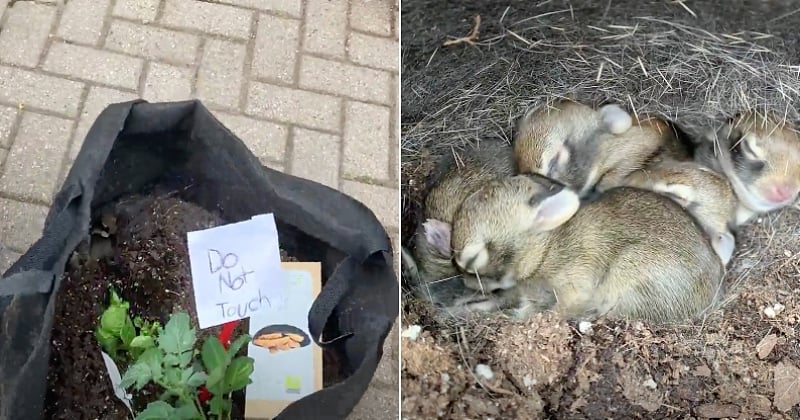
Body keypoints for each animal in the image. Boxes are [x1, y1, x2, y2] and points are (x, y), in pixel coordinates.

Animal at [450, 174, 724, 324]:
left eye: (473, 258)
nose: (466, 284)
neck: (545, 249)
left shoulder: (573, 286)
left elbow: (557, 309)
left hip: (631, 271)